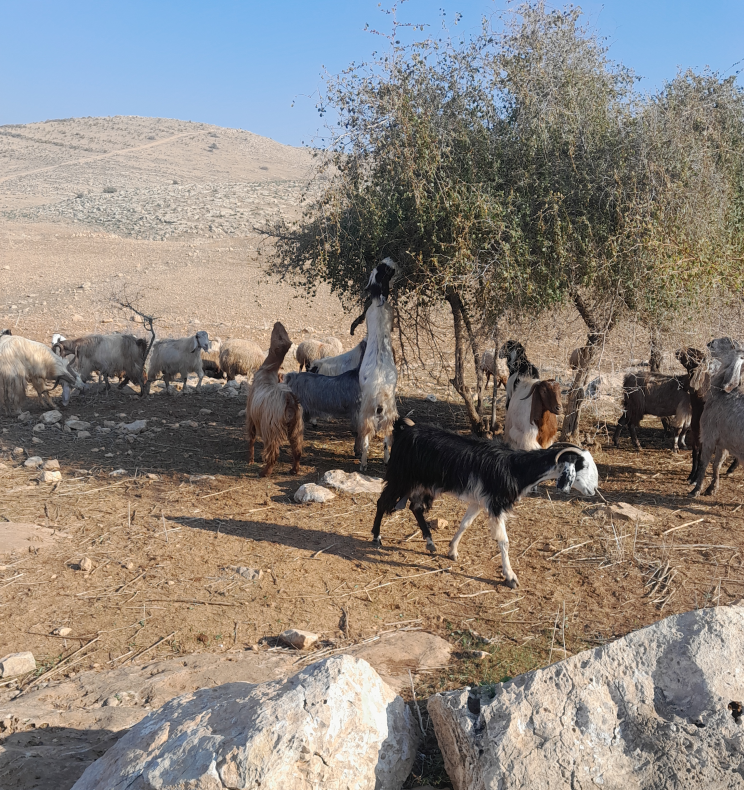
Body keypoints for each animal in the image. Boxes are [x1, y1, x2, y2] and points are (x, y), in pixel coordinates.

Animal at [245, 322, 303, 477]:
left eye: (279, 336)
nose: (278, 323)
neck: (268, 371)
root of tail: (289, 400)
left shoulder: (251, 416)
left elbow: (251, 439)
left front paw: (250, 460)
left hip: (271, 429)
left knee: (273, 454)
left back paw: (265, 472)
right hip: (296, 428)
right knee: (297, 451)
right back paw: (294, 470)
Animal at [371, 418, 598, 588]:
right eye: (583, 466)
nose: (593, 490)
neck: (516, 468)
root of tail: (404, 431)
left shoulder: (479, 501)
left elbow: (465, 524)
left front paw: (452, 551)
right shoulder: (496, 504)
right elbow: (503, 541)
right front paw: (510, 577)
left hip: (423, 485)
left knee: (415, 508)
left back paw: (430, 542)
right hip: (401, 478)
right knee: (382, 502)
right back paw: (376, 537)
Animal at [689, 348, 744, 497]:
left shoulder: (709, 436)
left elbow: (704, 463)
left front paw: (696, 489)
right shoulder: (722, 442)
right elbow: (716, 464)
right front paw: (712, 488)